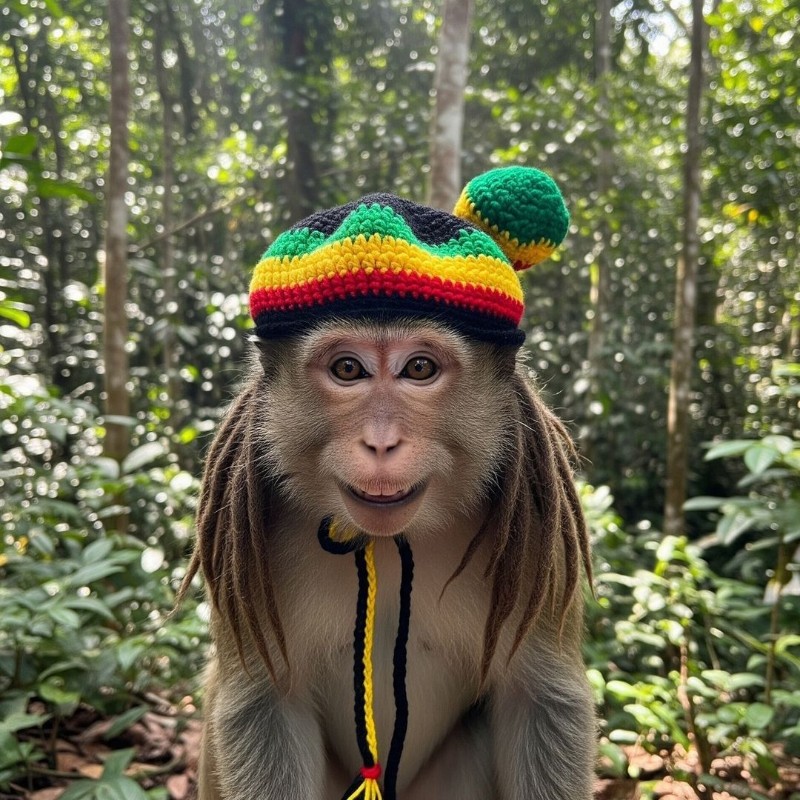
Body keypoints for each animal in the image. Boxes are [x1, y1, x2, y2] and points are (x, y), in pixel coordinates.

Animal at [179, 166, 596, 800]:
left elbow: (541, 702)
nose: (380, 442)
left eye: (419, 368)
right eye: (347, 369)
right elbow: (261, 703)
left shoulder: (541, 541)